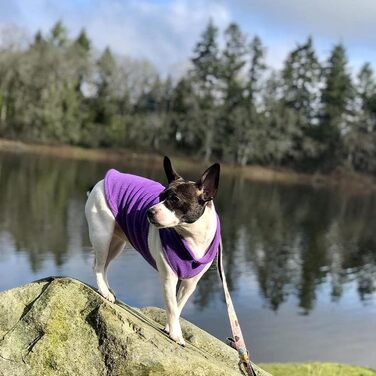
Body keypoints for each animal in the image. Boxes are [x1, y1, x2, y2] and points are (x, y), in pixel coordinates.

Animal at [85, 156, 220, 346]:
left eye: (175, 200)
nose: (149, 211)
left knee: (103, 266)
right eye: (160, 197)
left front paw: (170, 328)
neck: (191, 237)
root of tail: (101, 181)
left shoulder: (189, 285)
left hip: (116, 243)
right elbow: (171, 307)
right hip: (102, 235)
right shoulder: (169, 279)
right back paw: (104, 292)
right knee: (98, 266)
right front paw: (177, 335)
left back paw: (107, 289)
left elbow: (177, 306)